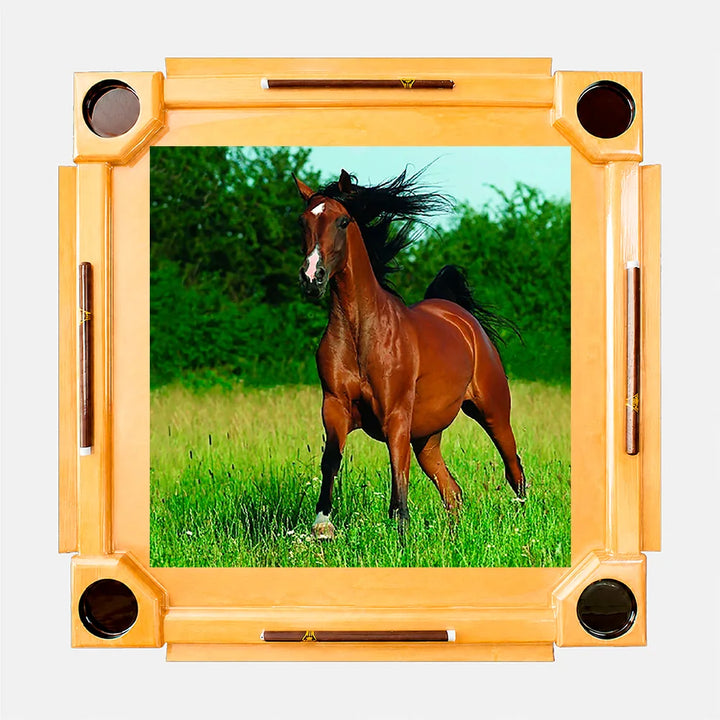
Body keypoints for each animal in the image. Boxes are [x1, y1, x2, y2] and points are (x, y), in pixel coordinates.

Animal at [294, 168, 526, 538]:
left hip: (492, 410)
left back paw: (520, 524)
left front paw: (400, 532)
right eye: (304, 221)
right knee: (453, 491)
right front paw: (322, 526)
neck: (362, 334)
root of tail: (461, 317)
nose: (311, 278)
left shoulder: (396, 414)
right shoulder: (334, 405)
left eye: (343, 221)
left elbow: (397, 472)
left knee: (513, 468)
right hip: (428, 438)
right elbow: (331, 459)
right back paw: (453, 539)